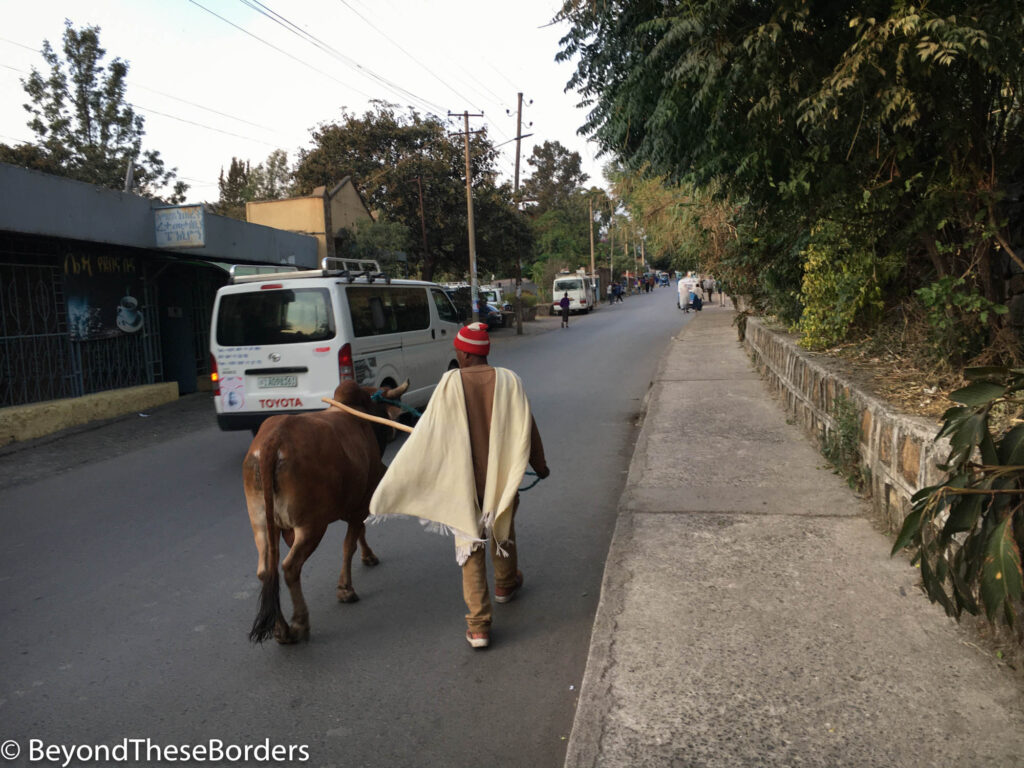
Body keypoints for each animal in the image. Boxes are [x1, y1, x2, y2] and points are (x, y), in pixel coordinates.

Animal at [243, 380, 407, 643]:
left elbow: (358, 534)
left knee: (266, 571)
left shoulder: (355, 505)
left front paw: (368, 556)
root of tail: (273, 440)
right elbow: (349, 545)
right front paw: (345, 589)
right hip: (311, 526)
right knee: (290, 567)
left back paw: (281, 629)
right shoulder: (361, 503)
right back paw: (299, 623)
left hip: (261, 524)